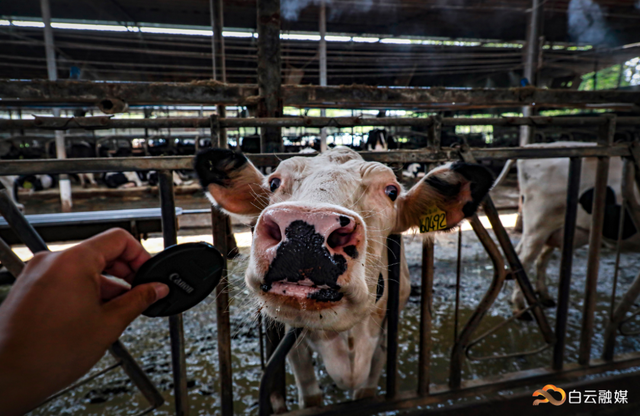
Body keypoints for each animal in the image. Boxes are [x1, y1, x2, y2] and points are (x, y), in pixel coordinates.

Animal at [510, 142, 640, 316]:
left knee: (539, 258)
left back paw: (545, 297)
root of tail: (531, 146)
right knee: (524, 261)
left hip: (553, 229)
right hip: (539, 225)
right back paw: (521, 309)